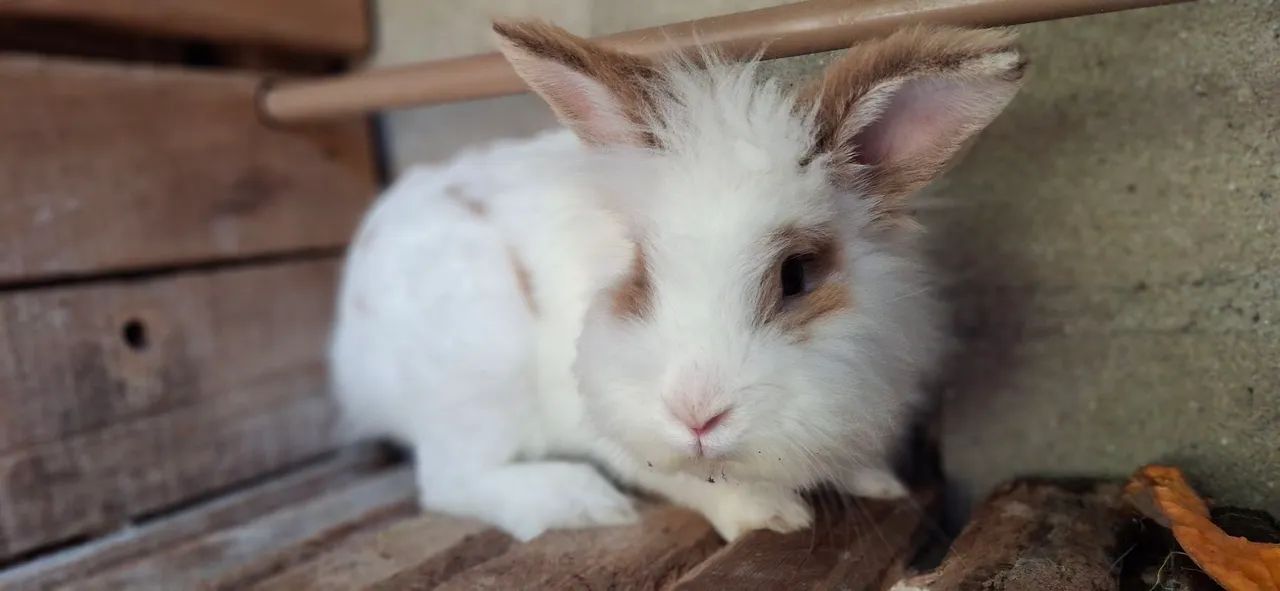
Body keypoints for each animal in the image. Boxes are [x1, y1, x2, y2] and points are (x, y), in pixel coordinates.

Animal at [329, 21, 1026, 542]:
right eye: (641, 269)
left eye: (796, 275)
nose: (696, 415)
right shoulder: (606, 414)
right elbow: (683, 478)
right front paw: (768, 515)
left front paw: (875, 481)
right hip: (479, 377)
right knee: (452, 479)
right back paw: (579, 502)